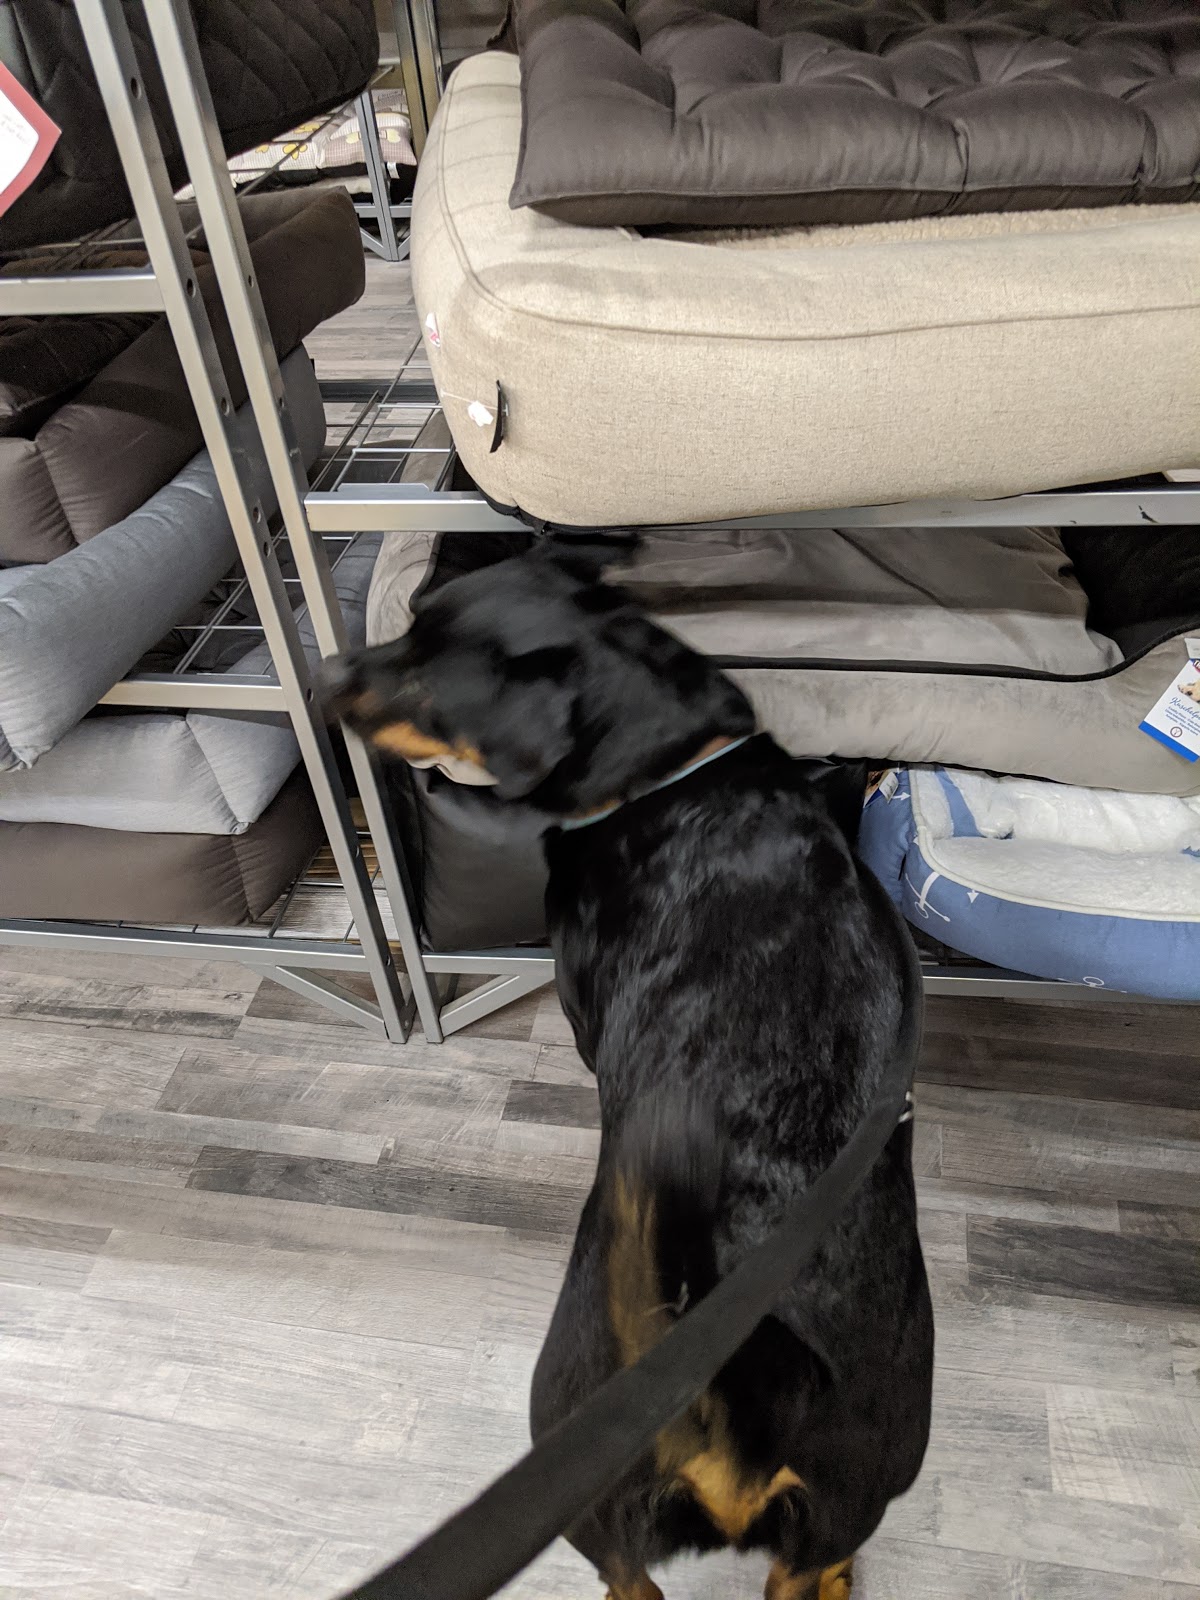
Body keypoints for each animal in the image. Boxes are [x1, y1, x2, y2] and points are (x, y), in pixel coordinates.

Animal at [322, 545, 933, 1600]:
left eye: (423, 668)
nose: (323, 676)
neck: (667, 768)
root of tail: (740, 1384)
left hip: (570, 1451)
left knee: (627, 1577)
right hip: (863, 1477)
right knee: (816, 1561)